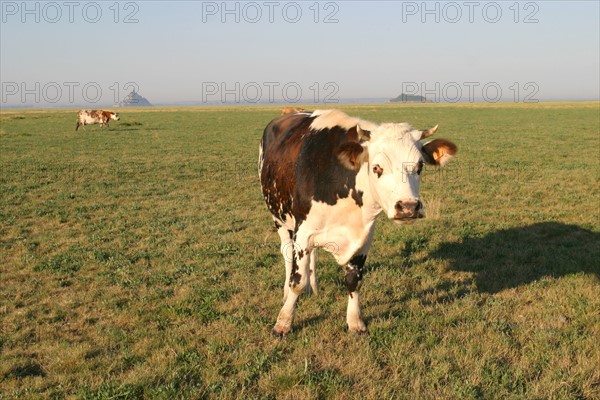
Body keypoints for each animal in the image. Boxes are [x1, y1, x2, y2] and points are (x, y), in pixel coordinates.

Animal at [258, 108, 460, 336]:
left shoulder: (364, 237)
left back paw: (314, 287)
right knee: (286, 254)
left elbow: (353, 281)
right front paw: (283, 323)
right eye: (377, 167)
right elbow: (297, 281)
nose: (408, 207)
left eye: (420, 166)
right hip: (280, 220)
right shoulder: (303, 234)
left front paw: (355, 322)